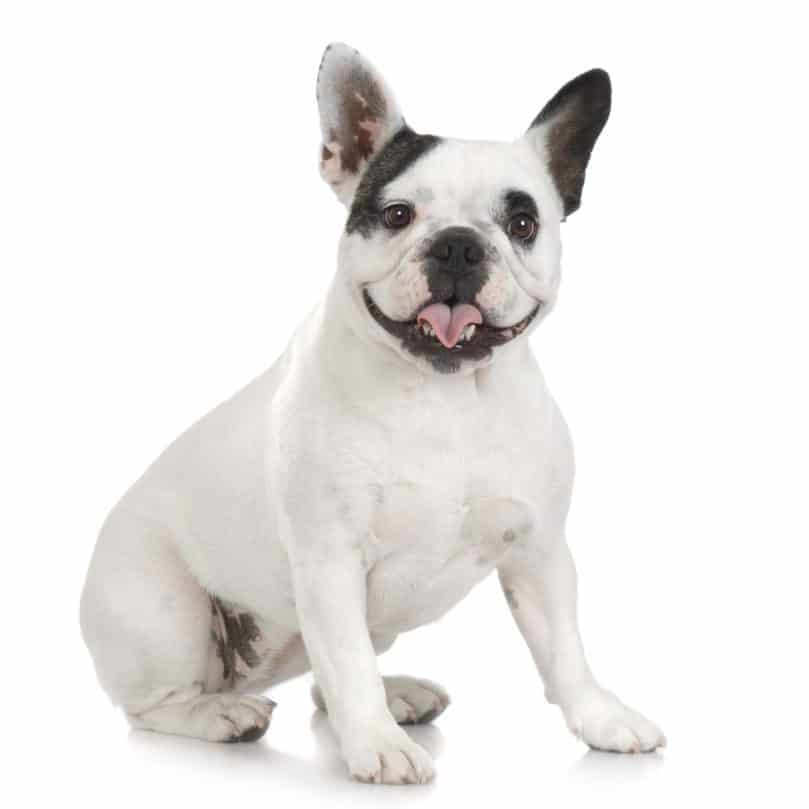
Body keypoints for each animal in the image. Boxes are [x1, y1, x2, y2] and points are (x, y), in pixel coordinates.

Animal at [80, 42, 664, 784]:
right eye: (396, 215)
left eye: (523, 224)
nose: (457, 244)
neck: (447, 394)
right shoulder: (330, 559)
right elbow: (348, 661)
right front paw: (377, 747)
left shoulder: (540, 552)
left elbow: (564, 649)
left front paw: (600, 717)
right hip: (164, 612)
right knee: (157, 704)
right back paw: (222, 714)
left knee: (321, 679)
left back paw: (396, 695)